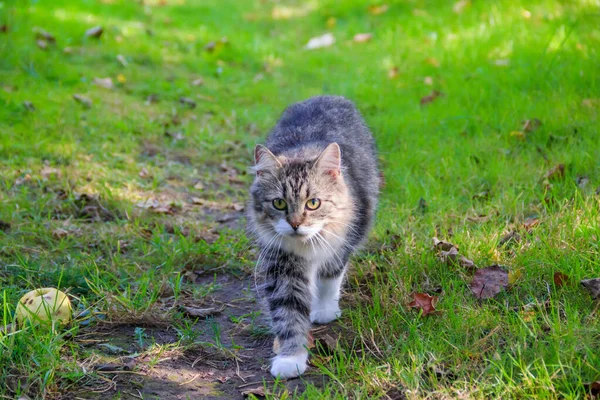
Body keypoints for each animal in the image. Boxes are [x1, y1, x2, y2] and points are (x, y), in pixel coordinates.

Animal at [245, 95, 378, 376]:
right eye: (279, 203)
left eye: (313, 203)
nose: (295, 223)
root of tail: (327, 96)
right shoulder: (283, 264)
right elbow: (289, 313)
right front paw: (290, 358)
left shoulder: (341, 244)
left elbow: (329, 279)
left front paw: (325, 309)